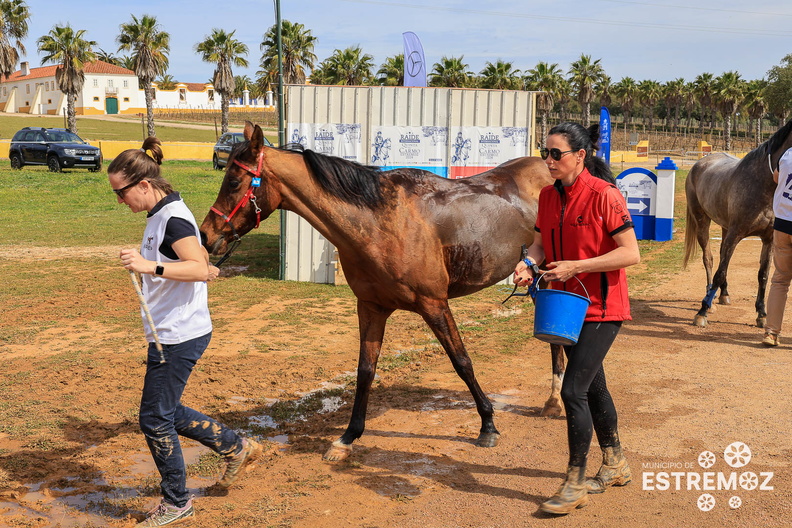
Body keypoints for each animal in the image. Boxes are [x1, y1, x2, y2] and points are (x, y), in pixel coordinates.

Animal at [204, 121, 564, 460]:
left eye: (234, 182)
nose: (207, 236)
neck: (381, 224)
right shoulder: (371, 306)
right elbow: (365, 371)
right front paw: (348, 437)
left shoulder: (435, 304)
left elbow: (462, 362)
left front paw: (488, 424)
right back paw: (553, 401)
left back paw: (554, 401)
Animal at [680, 118, 792, 326]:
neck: (763, 184)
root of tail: (701, 162)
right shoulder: (735, 234)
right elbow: (720, 272)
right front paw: (702, 312)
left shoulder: (769, 239)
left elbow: (763, 275)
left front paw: (762, 314)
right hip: (702, 221)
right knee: (709, 259)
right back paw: (710, 298)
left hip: (724, 227)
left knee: (721, 257)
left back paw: (723, 294)